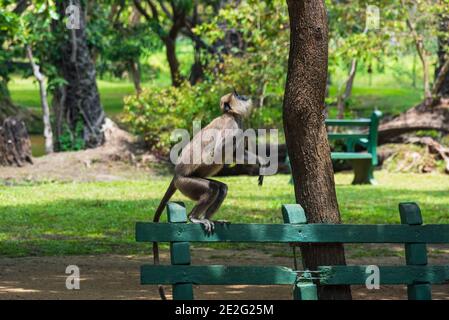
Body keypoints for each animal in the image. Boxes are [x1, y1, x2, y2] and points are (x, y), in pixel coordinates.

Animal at [152, 90, 268, 300]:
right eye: (238, 95)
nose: (245, 96)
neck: (231, 115)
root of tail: (176, 175)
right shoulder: (231, 127)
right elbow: (216, 152)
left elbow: (236, 152)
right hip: (187, 183)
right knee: (210, 188)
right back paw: (195, 217)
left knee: (221, 188)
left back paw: (208, 216)